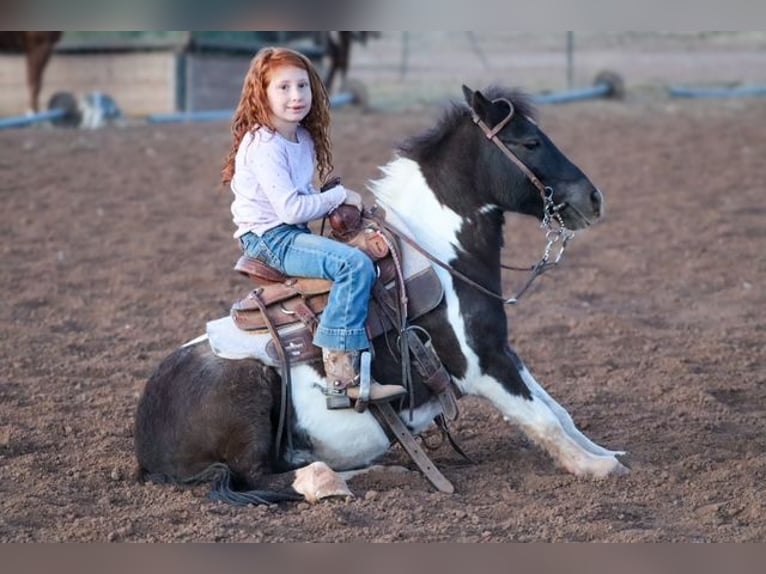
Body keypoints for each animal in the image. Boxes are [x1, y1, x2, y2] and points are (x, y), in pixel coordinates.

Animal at [133, 84, 629, 506]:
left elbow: (558, 410)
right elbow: (543, 419)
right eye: (529, 142)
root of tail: (145, 444)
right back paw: (353, 477)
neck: (440, 256)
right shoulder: (480, 365)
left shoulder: (502, 351)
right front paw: (596, 468)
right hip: (248, 396)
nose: (594, 198)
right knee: (264, 476)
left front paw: (610, 454)